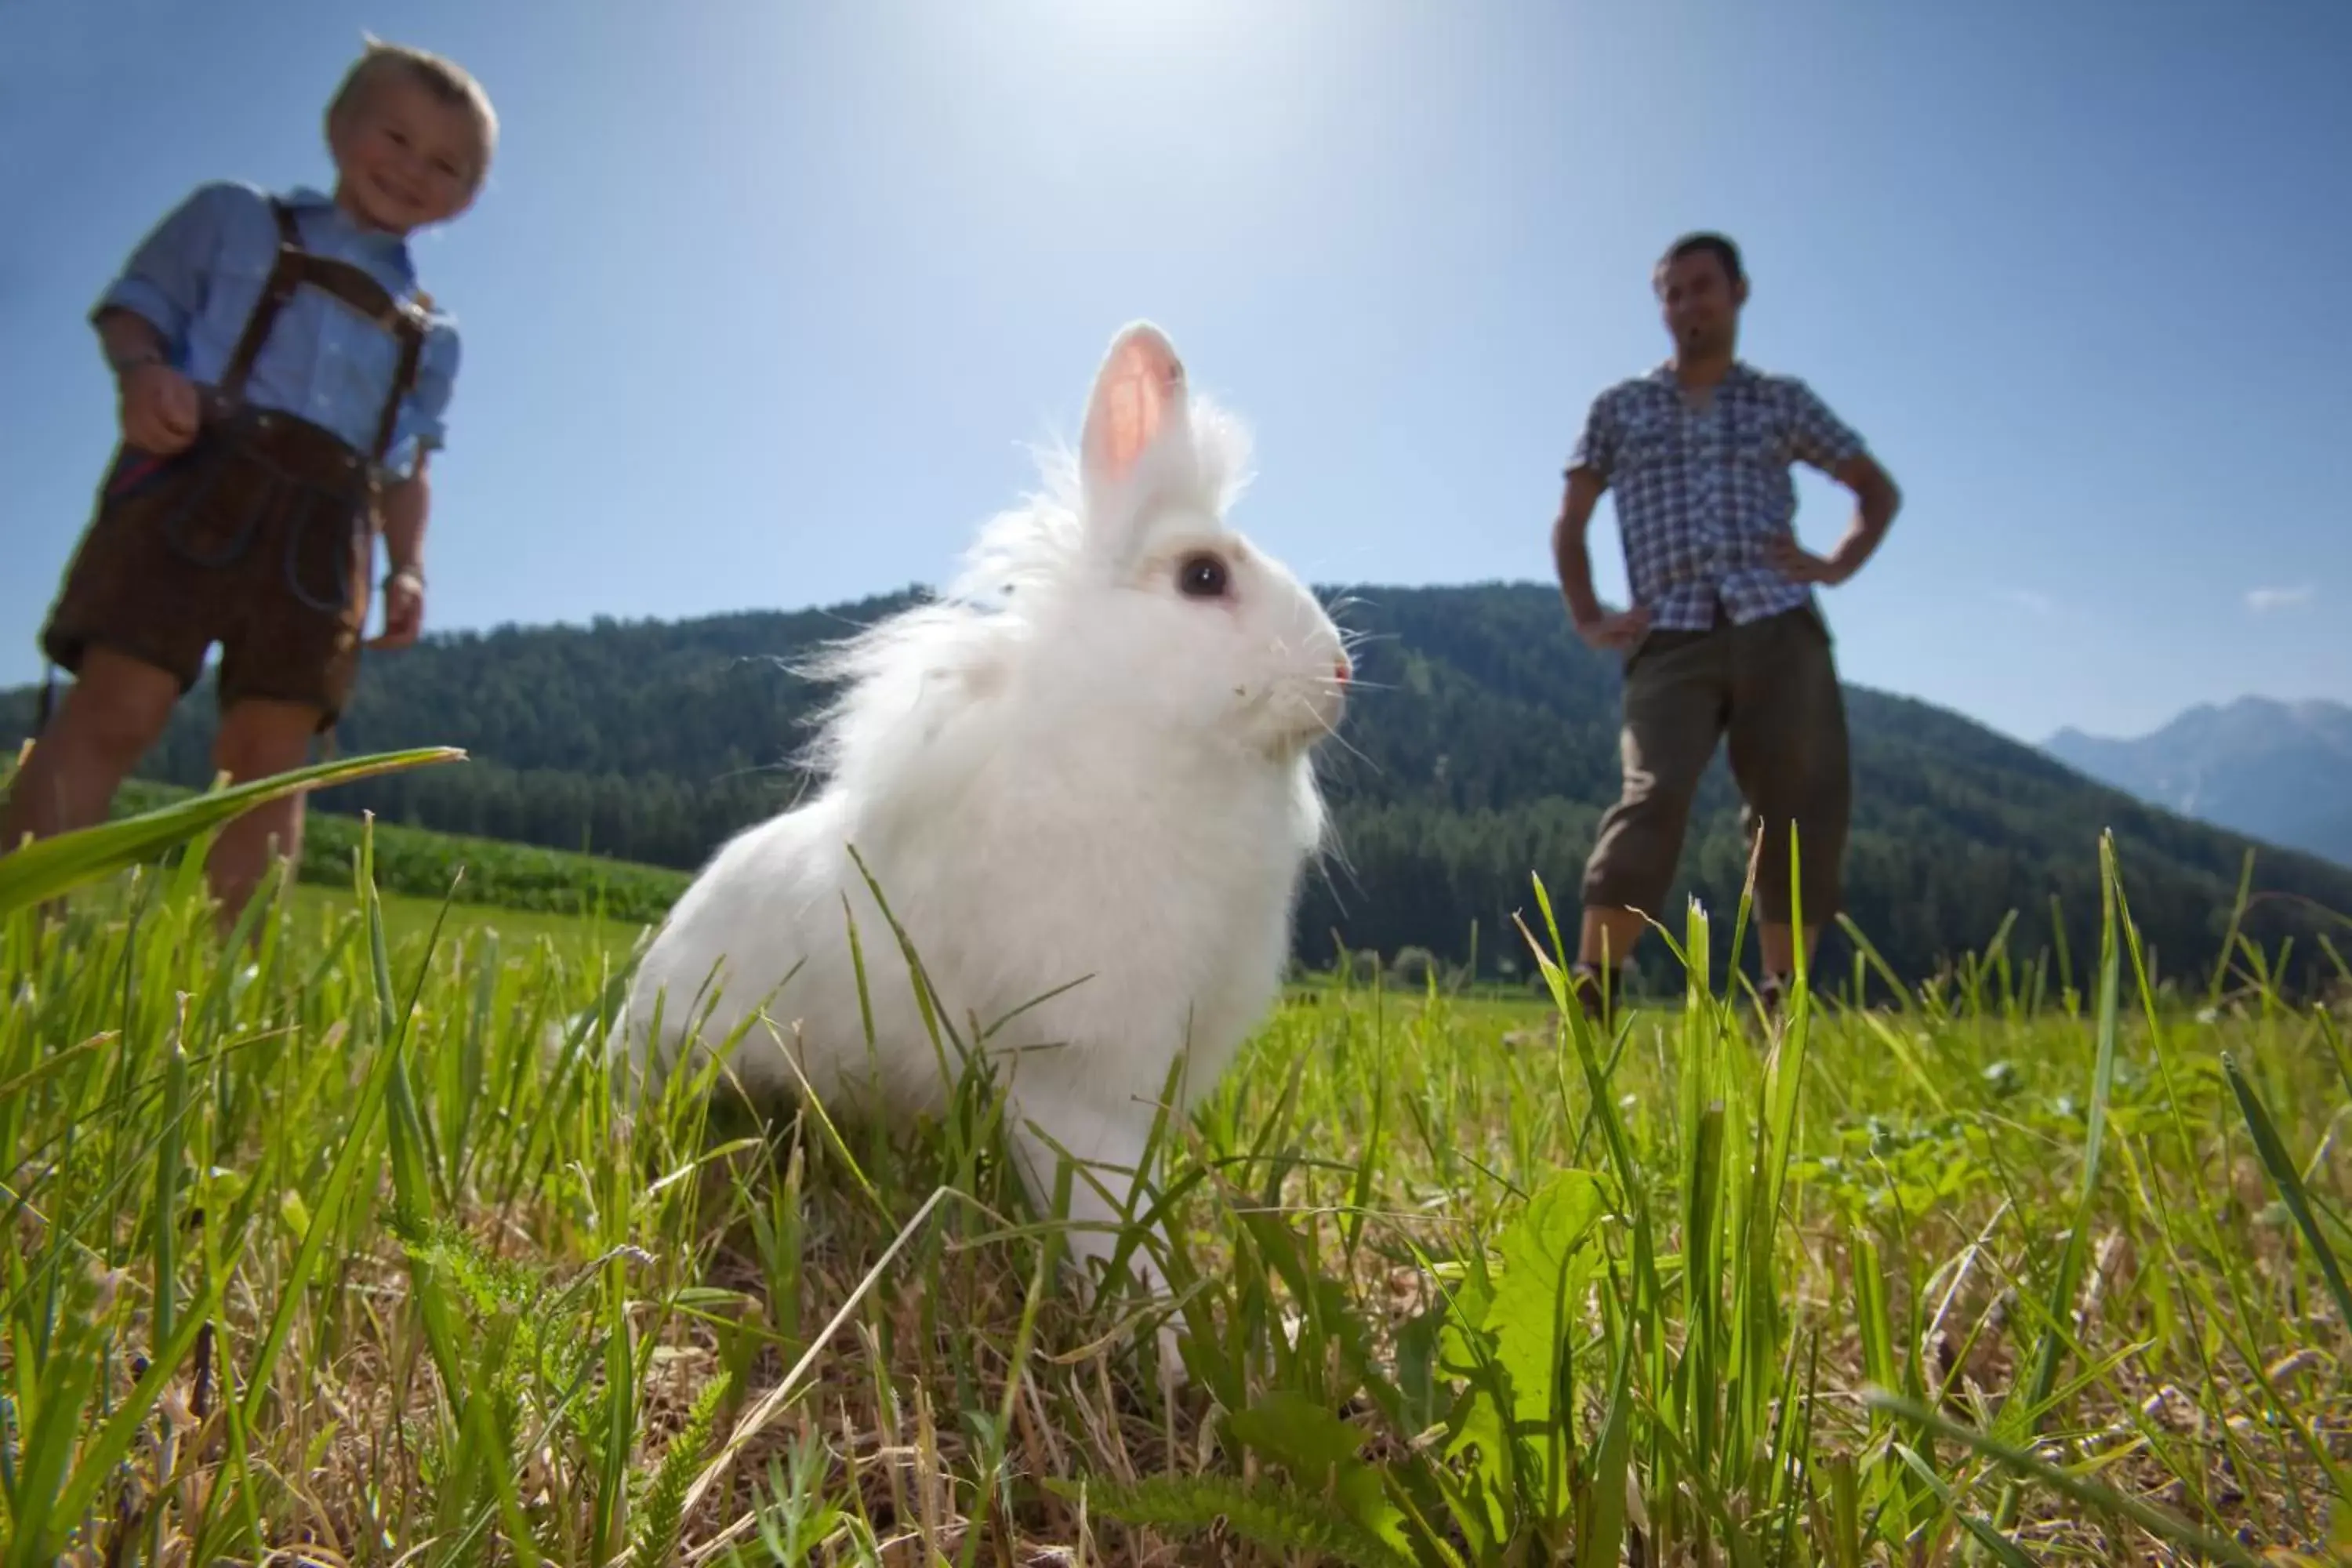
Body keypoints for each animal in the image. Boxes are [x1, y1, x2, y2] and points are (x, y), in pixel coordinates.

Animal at [616, 319, 1355, 1335]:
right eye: (1202, 577)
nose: (1342, 673)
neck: (1135, 734)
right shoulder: (1072, 1073)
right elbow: (1106, 1211)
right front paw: (1161, 1331)